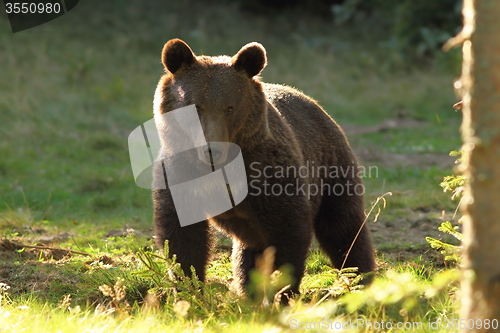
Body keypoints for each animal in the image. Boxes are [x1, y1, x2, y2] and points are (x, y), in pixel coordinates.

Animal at [152, 37, 376, 302]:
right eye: (195, 106)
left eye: (230, 108)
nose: (212, 150)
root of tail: (316, 105)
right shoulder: (179, 174)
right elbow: (182, 237)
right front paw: (189, 289)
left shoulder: (269, 173)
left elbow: (289, 230)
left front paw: (284, 292)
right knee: (249, 250)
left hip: (331, 166)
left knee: (343, 227)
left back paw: (360, 279)